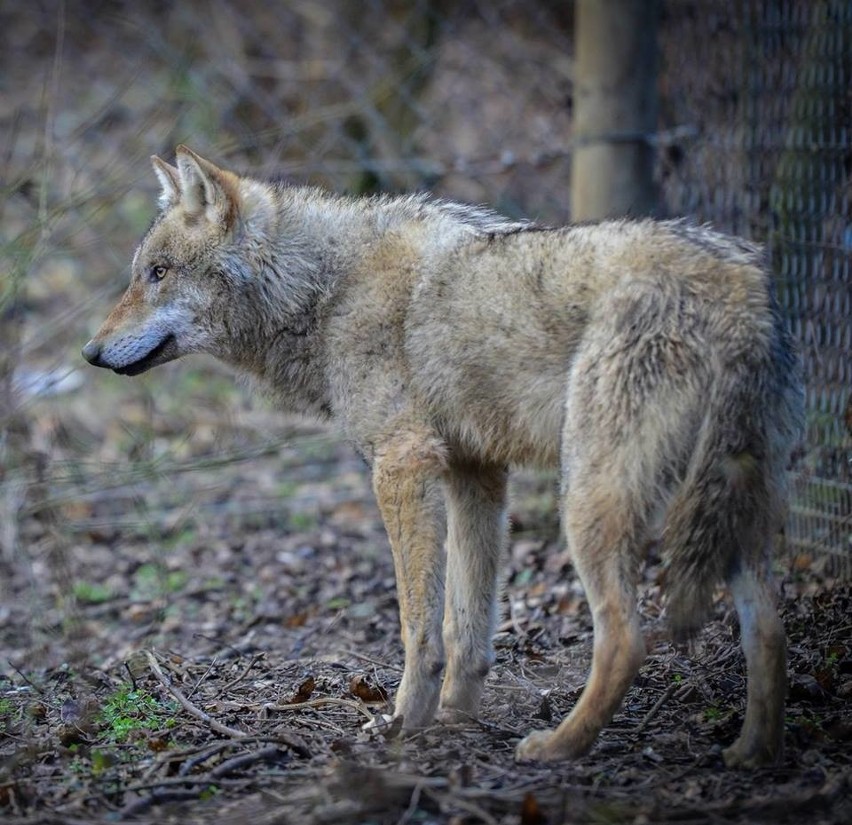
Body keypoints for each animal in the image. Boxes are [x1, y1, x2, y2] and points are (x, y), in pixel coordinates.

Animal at [83, 146, 804, 768]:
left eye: (157, 273)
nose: (89, 354)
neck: (324, 290)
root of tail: (739, 283)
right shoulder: (474, 473)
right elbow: (468, 623)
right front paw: (457, 716)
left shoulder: (402, 465)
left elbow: (417, 625)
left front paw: (406, 719)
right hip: (724, 507)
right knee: (769, 629)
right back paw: (753, 752)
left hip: (588, 502)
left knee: (627, 637)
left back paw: (558, 747)